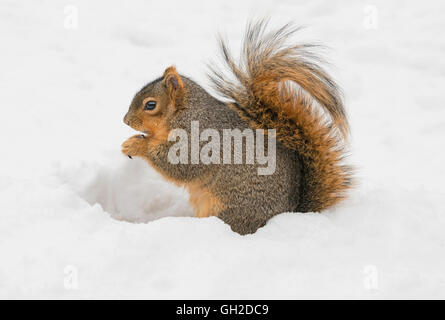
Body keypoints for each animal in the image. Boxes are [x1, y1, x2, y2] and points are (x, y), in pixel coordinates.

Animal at [122, 20, 354, 235]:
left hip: (233, 210)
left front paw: (136, 145)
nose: (126, 121)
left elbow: (179, 164)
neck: (186, 113)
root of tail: (290, 212)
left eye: (150, 105)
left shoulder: (198, 141)